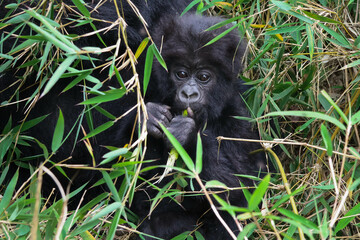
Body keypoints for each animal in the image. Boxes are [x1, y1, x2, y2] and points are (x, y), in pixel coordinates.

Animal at [131, 14, 268, 239]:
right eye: (181, 74)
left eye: (204, 77)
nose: (189, 94)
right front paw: (150, 116)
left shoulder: (237, 117)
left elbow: (240, 186)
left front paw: (187, 136)